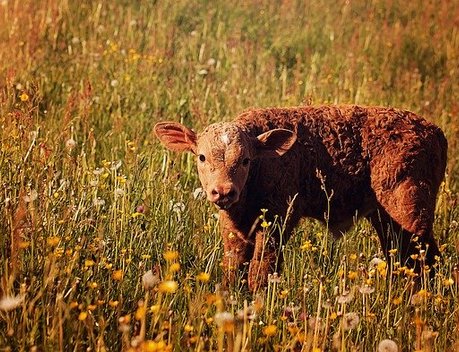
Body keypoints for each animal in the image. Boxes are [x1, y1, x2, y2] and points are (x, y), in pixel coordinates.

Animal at [154, 105, 446, 292]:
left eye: (246, 160)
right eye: (202, 157)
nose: (224, 191)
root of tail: (435, 132)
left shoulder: (277, 221)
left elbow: (261, 271)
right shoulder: (234, 229)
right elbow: (233, 269)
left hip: (409, 211)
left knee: (425, 260)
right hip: (386, 219)